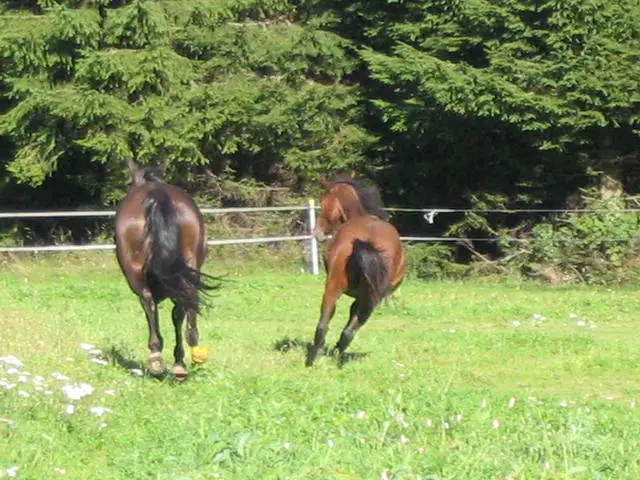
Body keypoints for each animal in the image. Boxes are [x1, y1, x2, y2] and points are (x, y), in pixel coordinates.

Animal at [114, 161, 218, 380]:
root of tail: (156, 195)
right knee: (180, 306)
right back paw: (180, 361)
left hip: (138, 274)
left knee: (151, 303)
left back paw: (161, 358)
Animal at [306, 173, 406, 366]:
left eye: (322, 201)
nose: (318, 233)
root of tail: (366, 240)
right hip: (366, 298)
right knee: (344, 330)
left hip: (335, 289)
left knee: (326, 325)